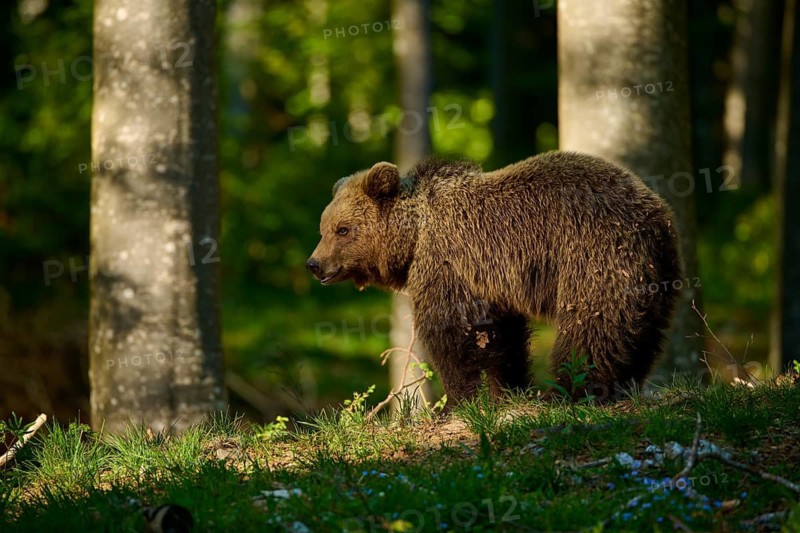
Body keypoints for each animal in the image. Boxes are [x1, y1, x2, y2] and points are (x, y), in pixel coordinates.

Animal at [307, 151, 681, 405]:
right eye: (324, 228)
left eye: (343, 229)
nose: (314, 264)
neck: (414, 236)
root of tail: (655, 213)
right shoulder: (490, 282)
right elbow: (502, 337)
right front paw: (509, 389)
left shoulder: (448, 263)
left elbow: (450, 332)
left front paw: (456, 401)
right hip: (656, 274)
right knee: (641, 331)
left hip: (593, 255)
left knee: (591, 327)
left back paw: (568, 390)